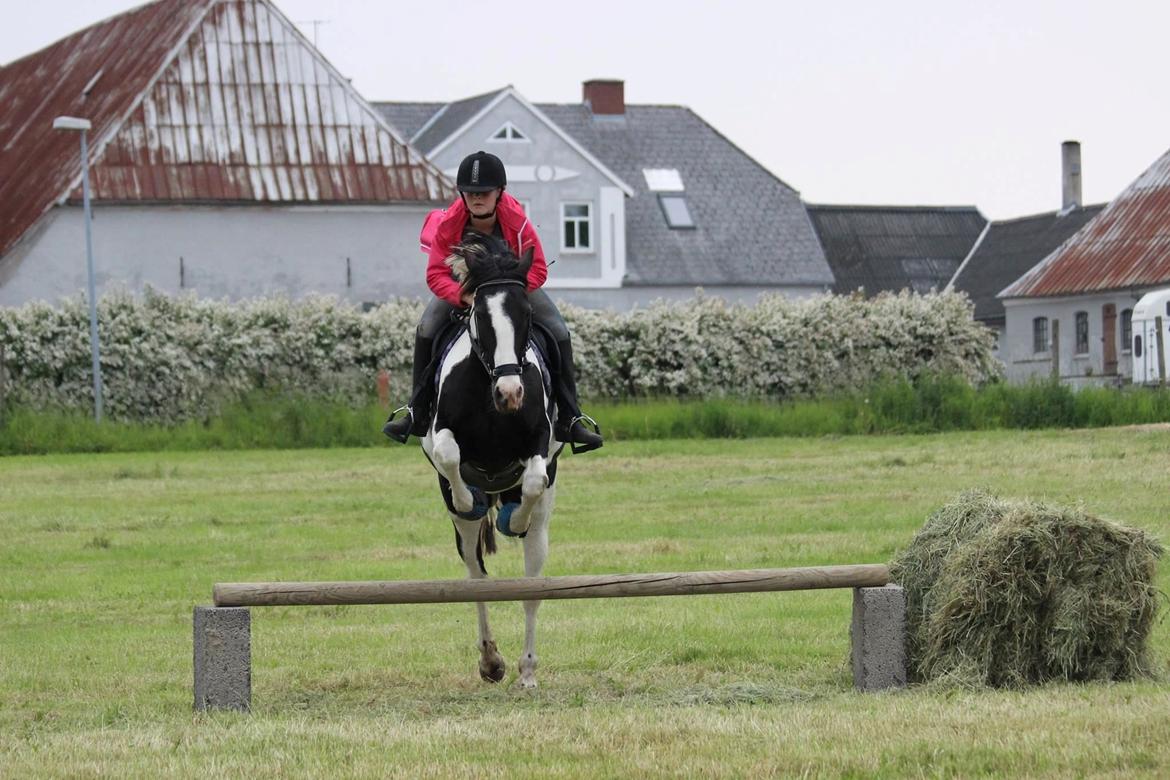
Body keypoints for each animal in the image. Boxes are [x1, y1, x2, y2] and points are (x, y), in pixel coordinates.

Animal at [421, 236, 566, 687]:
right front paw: (470, 499)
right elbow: (449, 455)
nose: (511, 394)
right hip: (464, 536)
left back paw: (527, 670)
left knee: (532, 586)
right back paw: (491, 662)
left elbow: (534, 481)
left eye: (526, 314)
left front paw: (512, 520)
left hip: (543, 529)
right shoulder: (439, 435)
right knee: (476, 577)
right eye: (480, 317)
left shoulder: (541, 445)